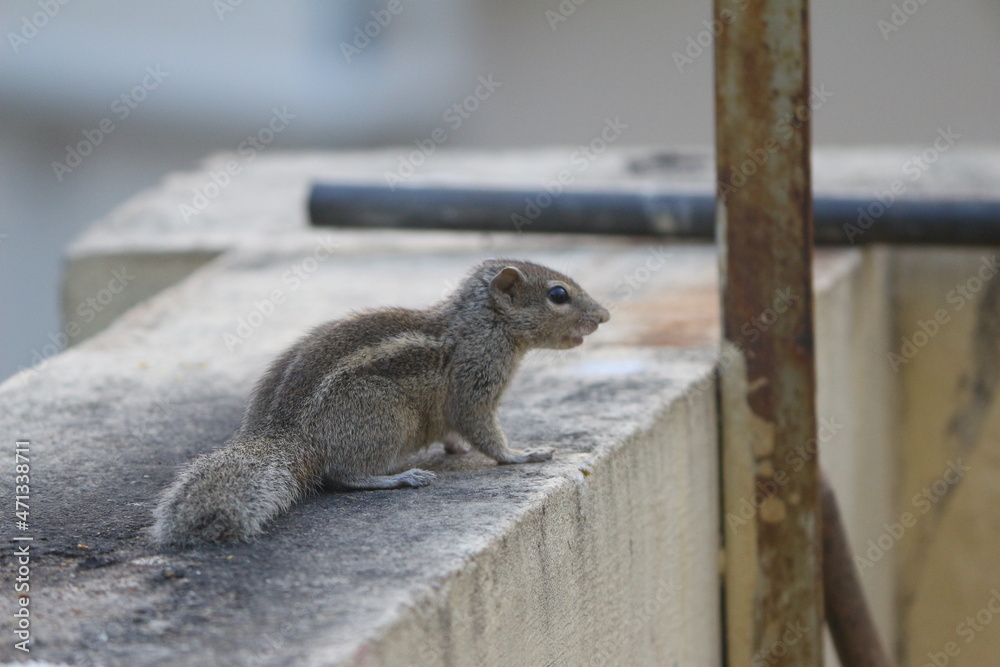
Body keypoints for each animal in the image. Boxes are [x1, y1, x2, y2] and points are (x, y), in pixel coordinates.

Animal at [151, 259, 610, 546]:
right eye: (558, 294)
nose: (605, 316)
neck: (483, 323)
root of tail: (282, 435)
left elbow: (457, 433)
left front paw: (455, 448)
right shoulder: (474, 384)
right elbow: (482, 430)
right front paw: (521, 455)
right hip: (387, 417)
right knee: (343, 475)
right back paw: (401, 477)